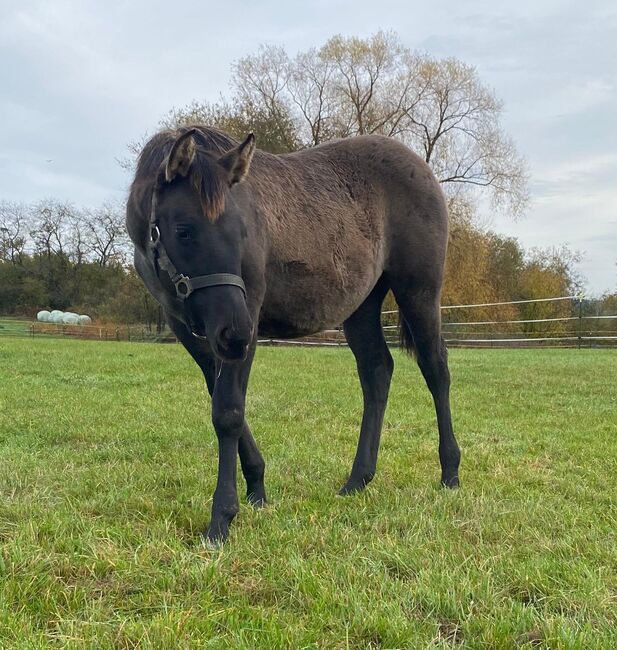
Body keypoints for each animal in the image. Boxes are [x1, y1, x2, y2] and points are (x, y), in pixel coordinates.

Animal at [125, 124, 460, 540]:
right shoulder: (191, 330)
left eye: (243, 232)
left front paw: (221, 518)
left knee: (435, 369)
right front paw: (256, 487)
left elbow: (228, 411)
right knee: (377, 372)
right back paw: (357, 480)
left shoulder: (245, 316)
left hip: (419, 292)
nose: (236, 333)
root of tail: (422, 168)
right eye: (183, 231)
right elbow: (222, 403)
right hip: (361, 307)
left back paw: (450, 472)